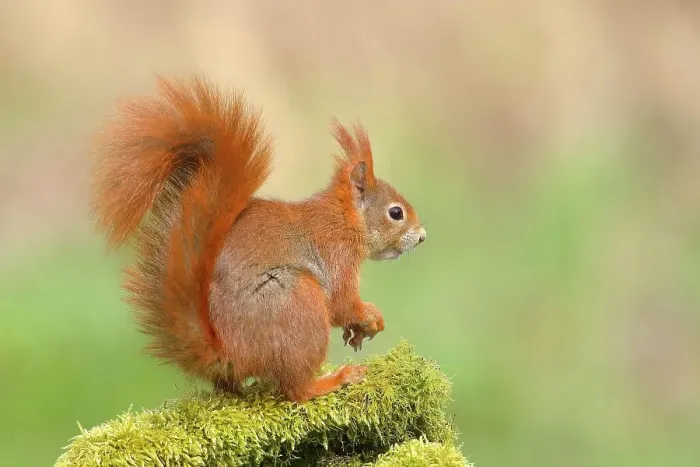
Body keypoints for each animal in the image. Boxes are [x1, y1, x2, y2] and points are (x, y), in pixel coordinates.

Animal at [91, 76, 426, 402]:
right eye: (396, 213)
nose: (423, 237)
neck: (344, 218)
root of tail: (230, 355)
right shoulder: (336, 254)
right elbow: (342, 302)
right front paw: (371, 317)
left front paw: (357, 331)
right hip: (297, 301)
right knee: (294, 390)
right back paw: (332, 381)